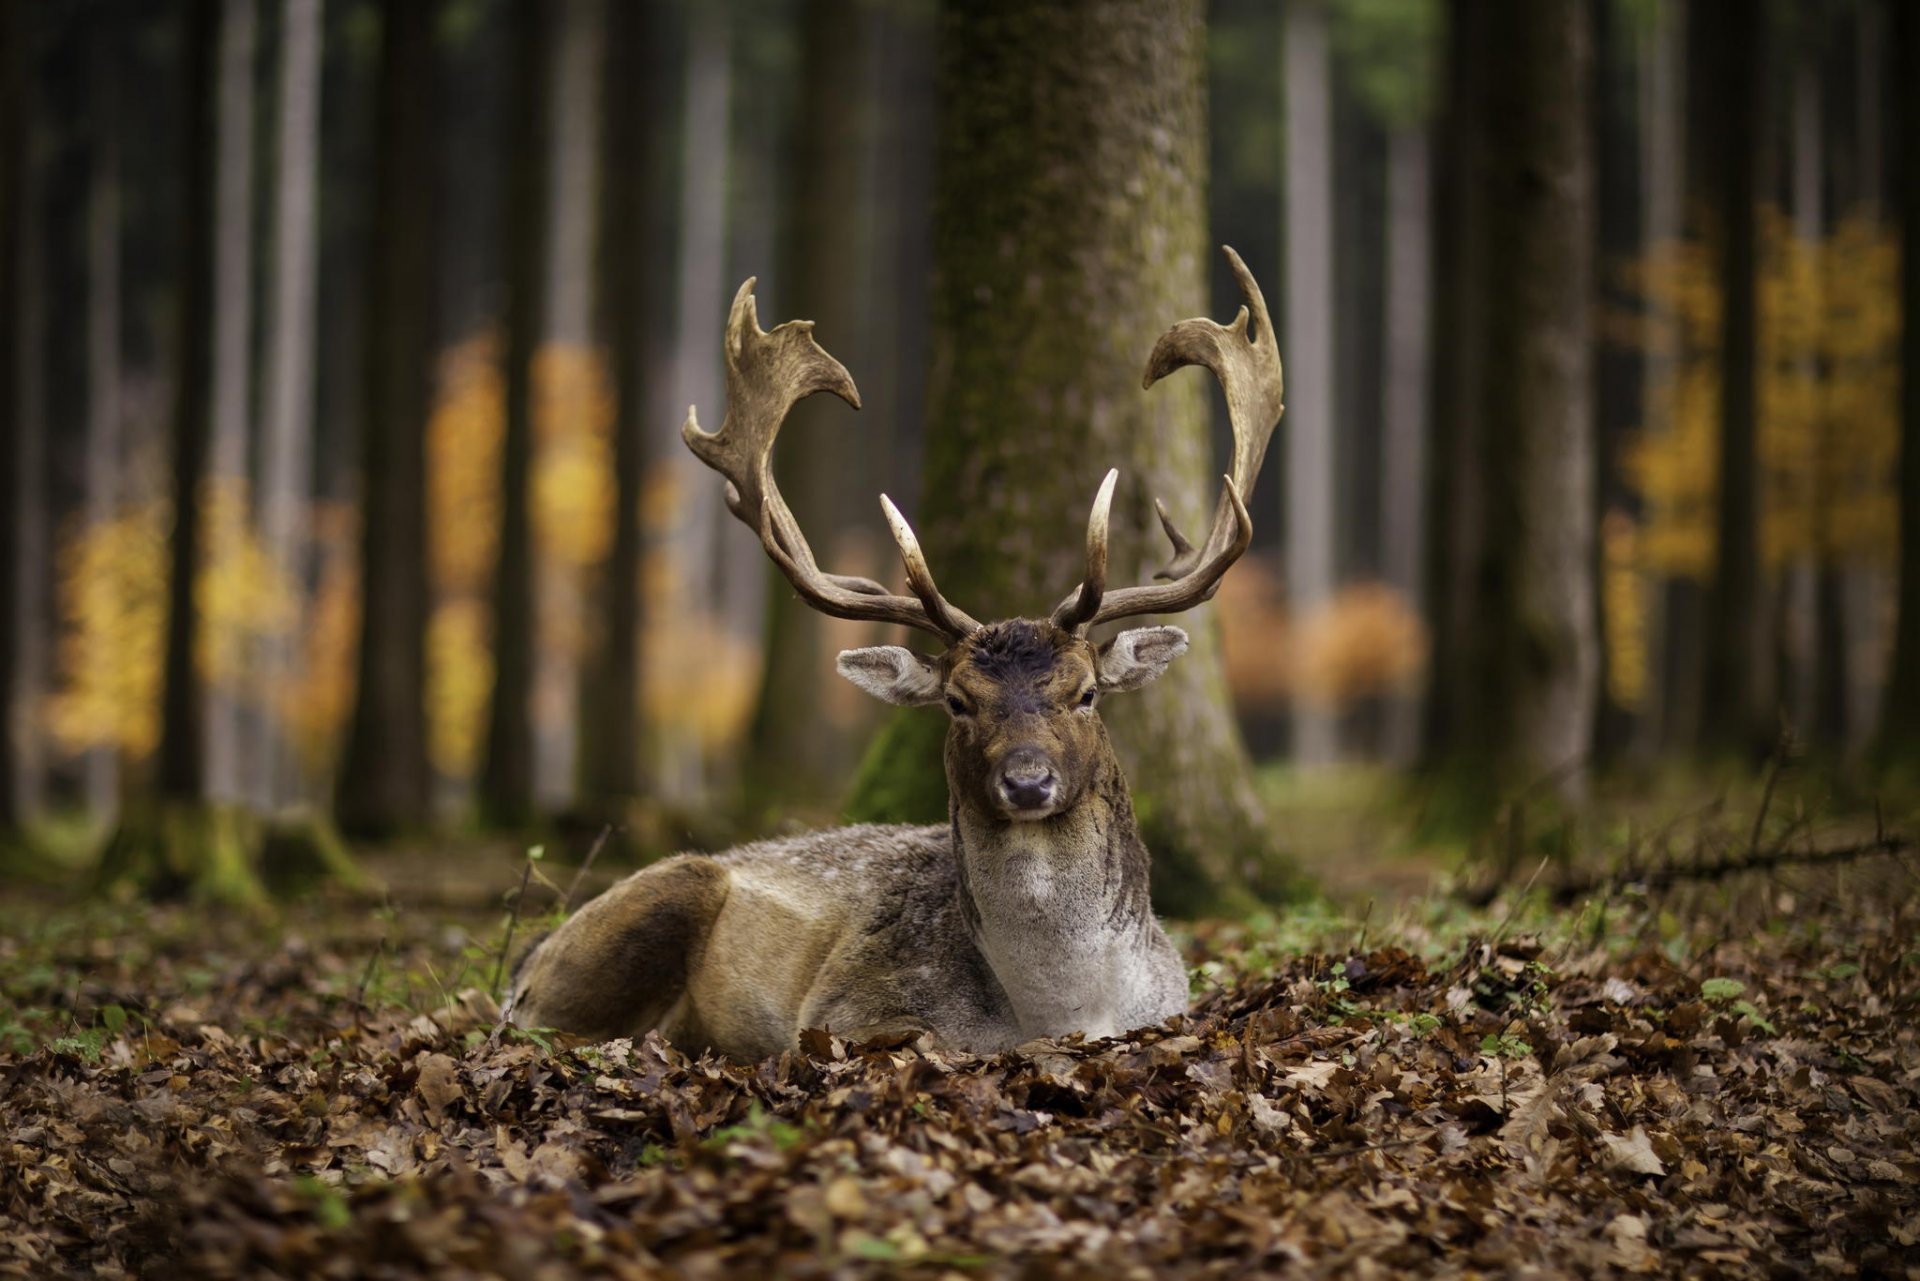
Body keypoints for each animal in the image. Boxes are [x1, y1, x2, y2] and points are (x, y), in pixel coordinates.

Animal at [507, 246, 1283, 1060]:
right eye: (958, 701)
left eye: (1087, 692)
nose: (1028, 781)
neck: (1060, 1010)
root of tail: (524, 961)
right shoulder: (845, 1008)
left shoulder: (1170, 1005)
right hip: (660, 895)